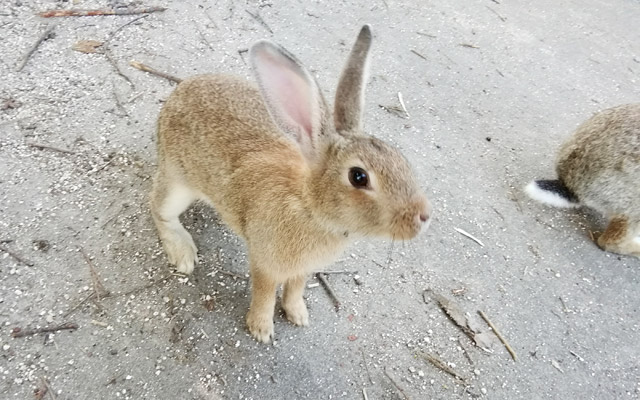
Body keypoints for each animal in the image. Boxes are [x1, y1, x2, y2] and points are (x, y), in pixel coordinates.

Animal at [150, 25, 430, 344]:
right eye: (359, 177)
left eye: (400, 158)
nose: (423, 216)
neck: (310, 208)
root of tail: (175, 96)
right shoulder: (265, 262)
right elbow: (264, 294)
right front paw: (261, 329)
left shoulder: (302, 269)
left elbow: (295, 288)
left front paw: (298, 315)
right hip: (177, 184)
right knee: (158, 209)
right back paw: (183, 254)